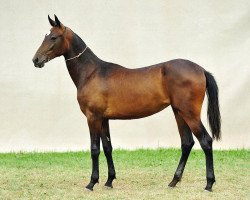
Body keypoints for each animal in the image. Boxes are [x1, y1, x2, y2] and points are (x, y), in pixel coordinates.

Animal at [31, 15, 221, 191]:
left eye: (53, 37)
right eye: (46, 35)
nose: (36, 60)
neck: (92, 73)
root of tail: (201, 70)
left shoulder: (93, 118)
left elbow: (94, 149)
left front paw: (92, 182)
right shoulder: (103, 119)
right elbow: (107, 147)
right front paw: (109, 181)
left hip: (189, 114)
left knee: (206, 141)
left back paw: (209, 184)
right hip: (178, 112)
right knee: (187, 143)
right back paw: (174, 181)